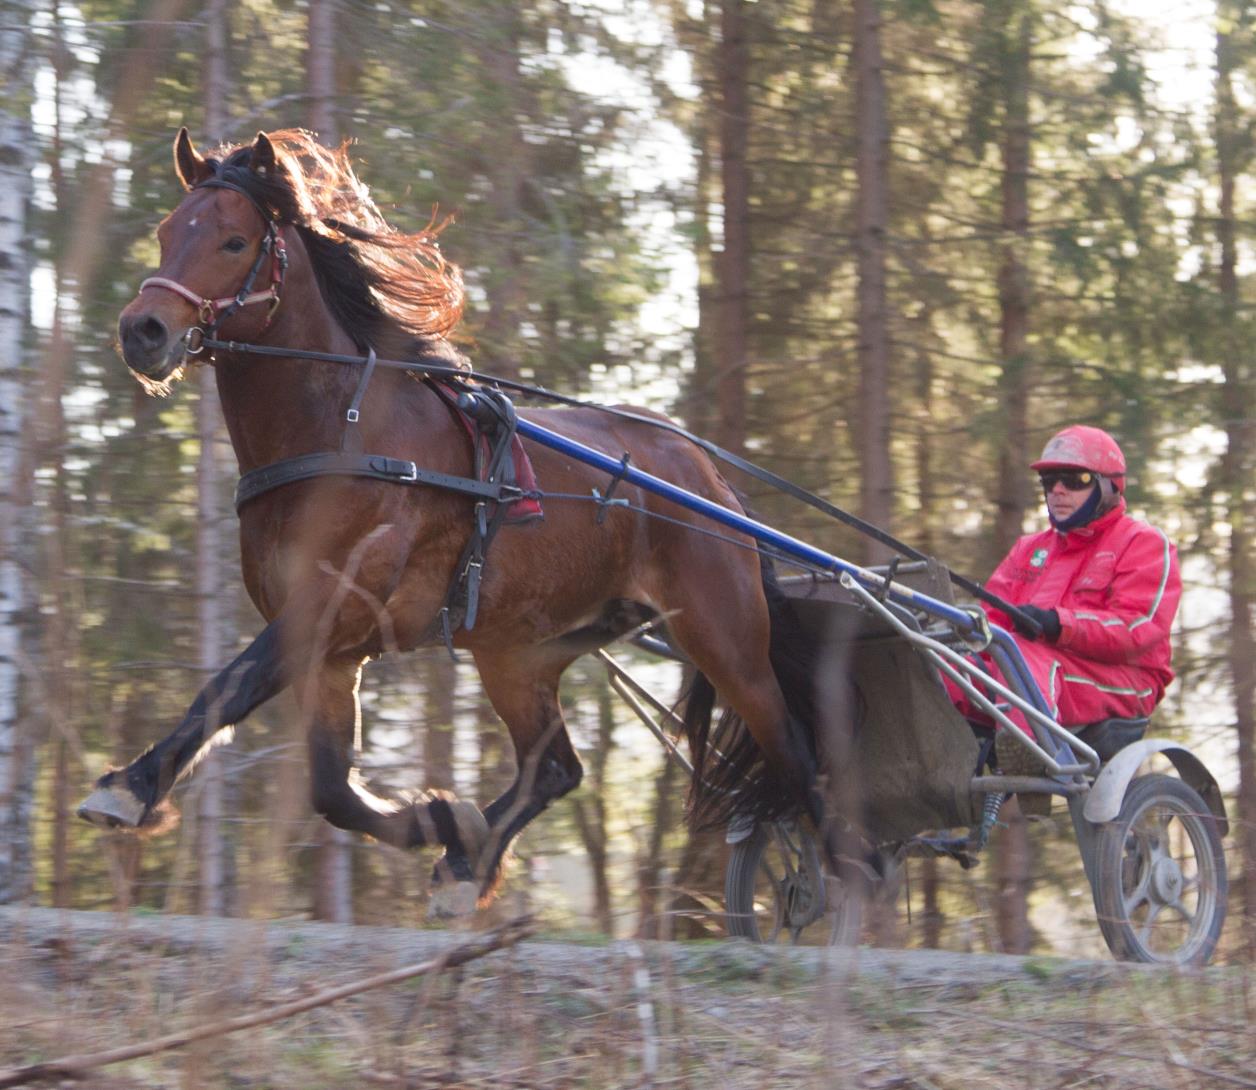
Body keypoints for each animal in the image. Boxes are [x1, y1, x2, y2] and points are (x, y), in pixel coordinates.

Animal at [78, 129, 823, 909]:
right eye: (167, 233)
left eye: (232, 239)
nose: (143, 331)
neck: (342, 433)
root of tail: (708, 476)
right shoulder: (331, 650)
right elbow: (331, 789)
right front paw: (441, 820)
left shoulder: (331, 605)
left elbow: (229, 690)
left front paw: (129, 787)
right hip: (520, 651)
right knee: (555, 768)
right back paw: (470, 861)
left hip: (725, 639)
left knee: (801, 764)